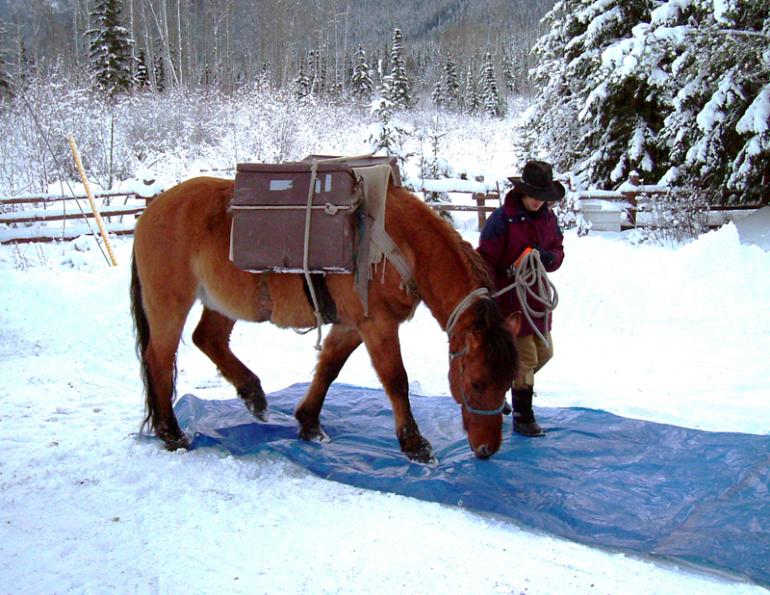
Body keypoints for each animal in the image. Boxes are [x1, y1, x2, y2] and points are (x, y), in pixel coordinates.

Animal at [130, 176, 519, 463]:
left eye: (507, 383)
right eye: (478, 384)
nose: (488, 450)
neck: (401, 245)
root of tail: (151, 210)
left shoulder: (351, 326)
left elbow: (329, 368)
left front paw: (309, 423)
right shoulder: (377, 324)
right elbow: (396, 380)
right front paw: (414, 444)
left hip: (224, 302)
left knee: (207, 338)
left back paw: (253, 394)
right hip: (169, 303)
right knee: (159, 359)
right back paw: (172, 433)